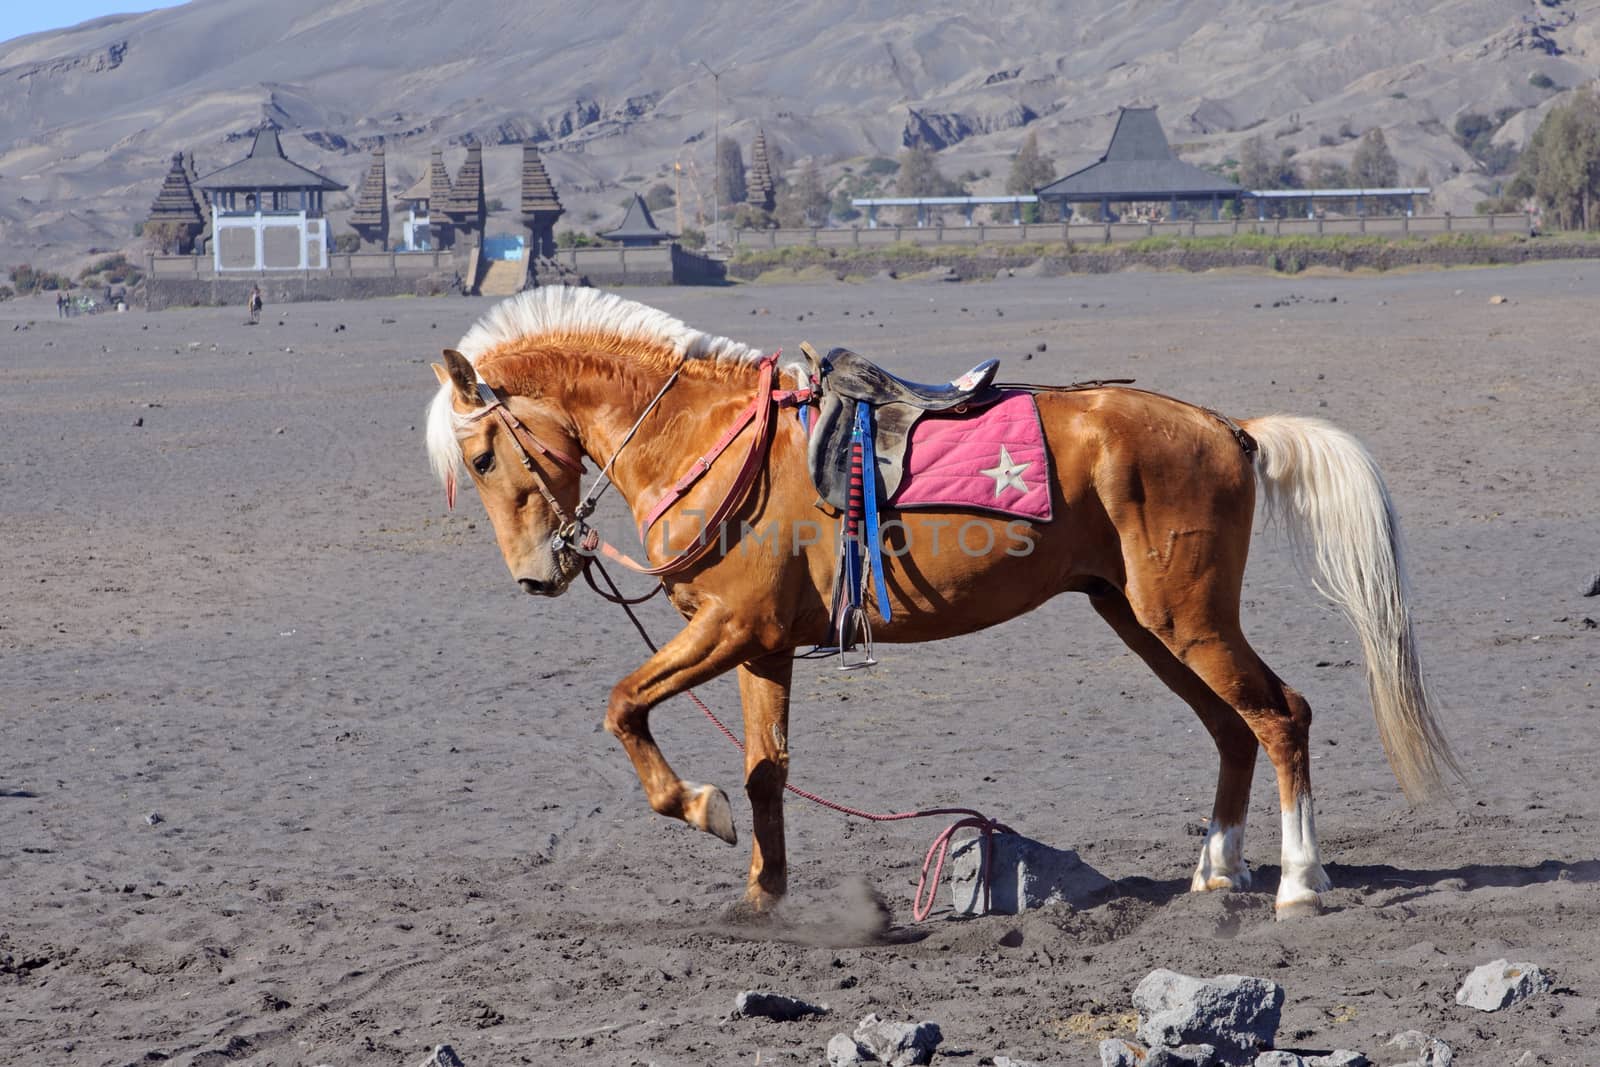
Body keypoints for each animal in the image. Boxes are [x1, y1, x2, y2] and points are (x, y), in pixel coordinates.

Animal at [419, 287, 1459, 921]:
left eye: (484, 455)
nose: (538, 574)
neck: (708, 437)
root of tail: (1228, 428)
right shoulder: (764, 645)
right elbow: (765, 772)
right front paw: (765, 894)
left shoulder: (731, 629)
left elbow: (624, 705)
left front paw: (699, 809)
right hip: (1142, 620)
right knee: (1232, 729)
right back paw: (1216, 870)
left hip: (1188, 619)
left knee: (1282, 715)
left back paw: (1298, 883)